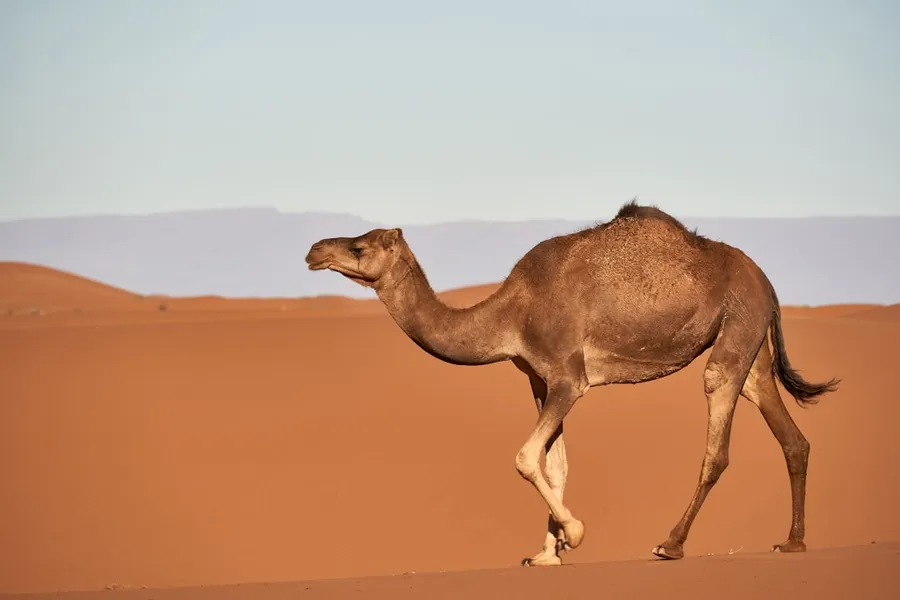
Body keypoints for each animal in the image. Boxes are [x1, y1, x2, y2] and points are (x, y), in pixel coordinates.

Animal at [304, 200, 839, 566]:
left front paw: (574, 534)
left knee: (717, 435)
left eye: (359, 246)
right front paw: (547, 552)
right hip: (750, 341)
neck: (510, 313)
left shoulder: (568, 377)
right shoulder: (539, 381)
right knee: (788, 431)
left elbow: (524, 457)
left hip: (736, 326)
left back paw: (670, 543)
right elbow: (554, 463)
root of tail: (766, 281)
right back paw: (793, 541)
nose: (314, 249)